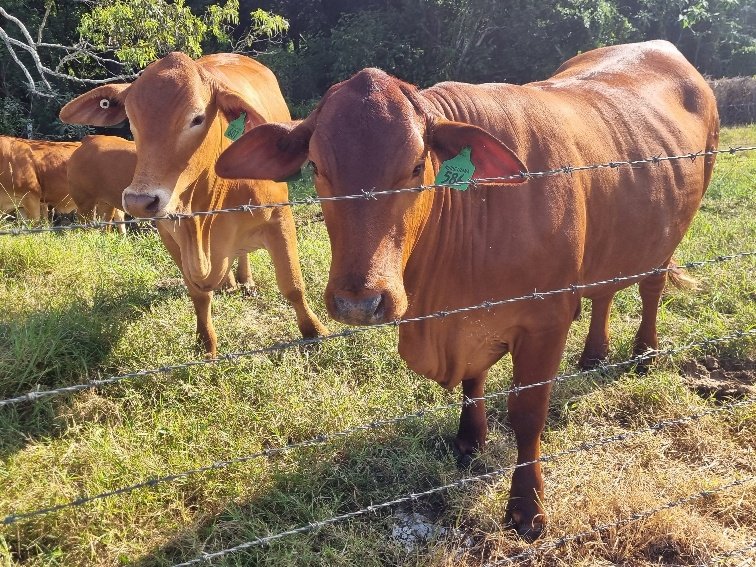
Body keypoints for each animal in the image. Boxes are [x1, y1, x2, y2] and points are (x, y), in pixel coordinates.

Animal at [59, 53, 328, 356]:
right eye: (132, 120)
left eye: (197, 118)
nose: (139, 201)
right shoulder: (169, 234)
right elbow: (198, 295)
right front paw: (206, 344)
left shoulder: (279, 218)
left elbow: (292, 285)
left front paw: (314, 332)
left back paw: (244, 280)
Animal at [217, 42, 720, 540]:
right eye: (317, 167)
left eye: (416, 166)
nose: (358, 302)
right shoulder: (469, 322)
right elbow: (472, 380)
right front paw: (470, 439)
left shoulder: (546, 321)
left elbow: (527, 412)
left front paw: (526, 507)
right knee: (604, 292)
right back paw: (594, 354)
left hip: (671, 232)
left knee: (651, 286)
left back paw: (645, 351)